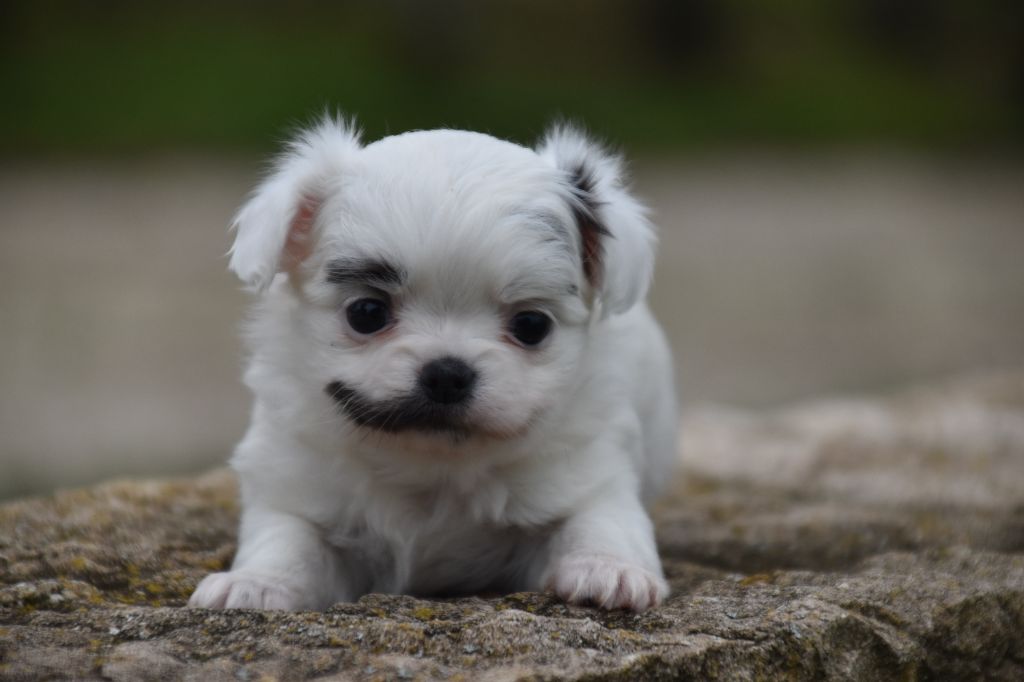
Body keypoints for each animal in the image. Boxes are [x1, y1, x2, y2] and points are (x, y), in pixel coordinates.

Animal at [188, 115, 675, 610]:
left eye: (532, 325)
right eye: (367, 313)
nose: (447, 374)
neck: (432, 469)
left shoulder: (591, 478)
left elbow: (598, 522)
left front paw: (609, 570)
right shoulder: (294, 488)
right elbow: (288, 541)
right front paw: (255, 583)